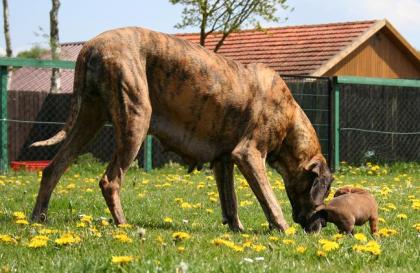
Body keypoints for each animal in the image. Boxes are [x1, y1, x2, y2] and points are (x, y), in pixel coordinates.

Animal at [30, 27, 332, 232]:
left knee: (53, 169)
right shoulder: (249, 155)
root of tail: (90, 47)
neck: (290, 118)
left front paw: (237, 230)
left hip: (88, 120)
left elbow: (231, 202)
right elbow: (270, 199)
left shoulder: (223, 161)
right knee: (110, 180)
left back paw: (37, 218)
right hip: (135, 120)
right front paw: (282, 229)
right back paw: (123, 224)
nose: (321, 225)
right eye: (324, 192)